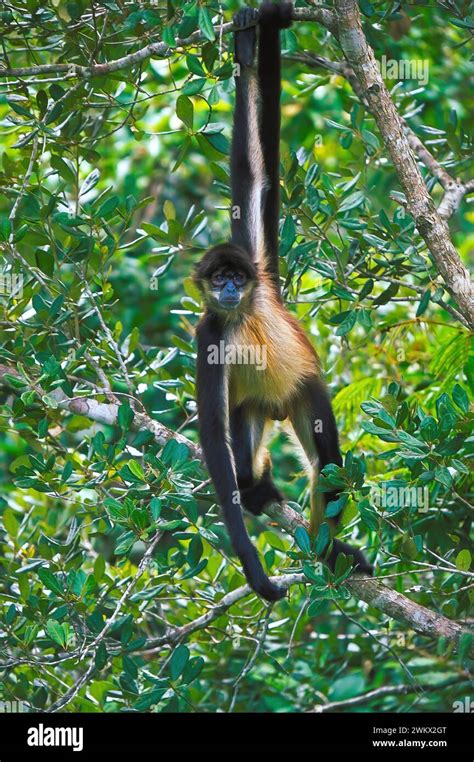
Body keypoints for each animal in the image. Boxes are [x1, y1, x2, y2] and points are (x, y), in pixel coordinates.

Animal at [194, 4, 372, 600]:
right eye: (218, 280)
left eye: (235, 276)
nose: (228, 288)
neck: (242, 314)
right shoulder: (208, 334)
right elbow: (214, 440)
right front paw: (251, 565)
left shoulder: (259, 270)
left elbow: (254, 175)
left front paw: (251, 39)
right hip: (253, 409)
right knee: (244, 448)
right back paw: (261, 491)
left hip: (303, 393)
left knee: (328, 467)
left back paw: (326, 552)